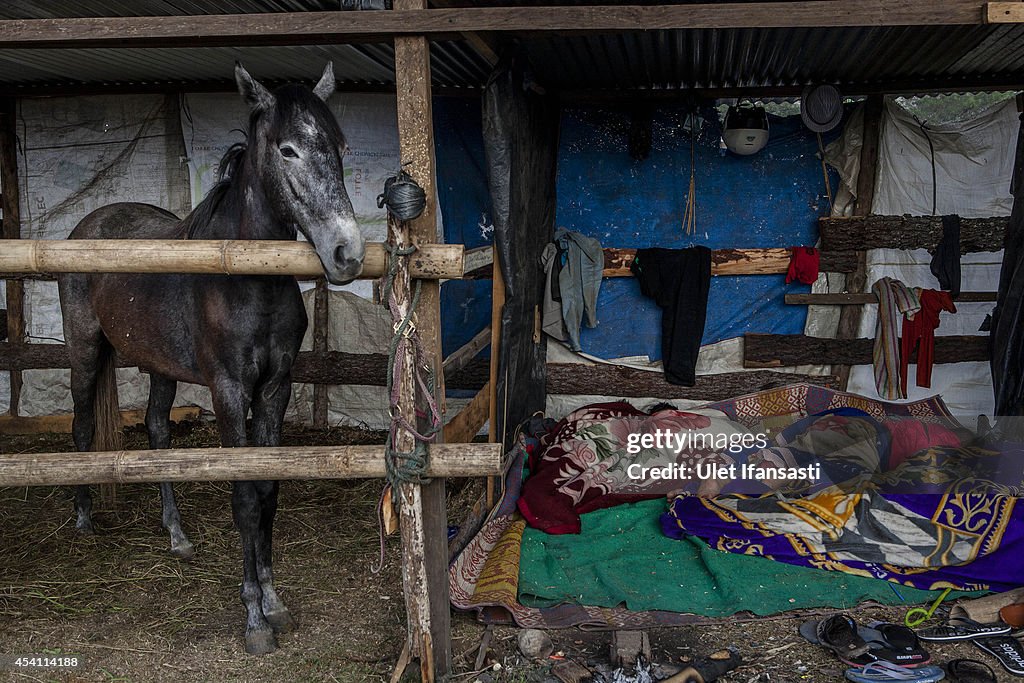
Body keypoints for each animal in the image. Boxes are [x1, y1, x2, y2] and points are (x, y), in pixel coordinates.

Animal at [58, 65, 364, 655]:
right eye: (288, 150)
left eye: (340, 147)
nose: (348, 253)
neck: (248, 279)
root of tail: (91, 223)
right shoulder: (227, 390)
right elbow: (244, 497)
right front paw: (254, 621)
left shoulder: (275, 388)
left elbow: (268, 494)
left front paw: (275, 603)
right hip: (84, 351)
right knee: (82, 427)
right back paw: (83, 519)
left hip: (159, 368)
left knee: (157, 432)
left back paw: (177, 536)